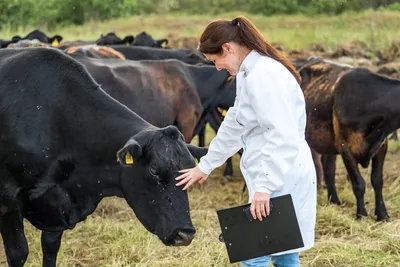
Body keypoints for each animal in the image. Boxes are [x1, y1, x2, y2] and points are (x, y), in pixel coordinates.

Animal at [0, 48, 206, 267]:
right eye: (154, 171)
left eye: (190, 170)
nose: (185, 234)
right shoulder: (8, 198)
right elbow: (18, 252)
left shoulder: (58, 206)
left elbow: (50, 247)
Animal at [294, 56, 400, 222]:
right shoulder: (346, 147)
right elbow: (359, 184)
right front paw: (361, 215)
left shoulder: (381, 146)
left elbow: (377, 180)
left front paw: (382, 215)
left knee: (328, 167)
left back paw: (335, 201)